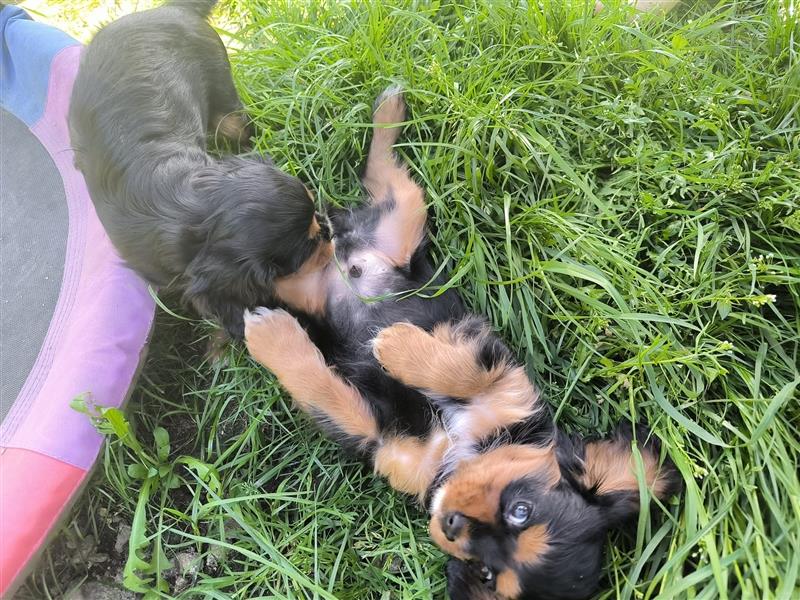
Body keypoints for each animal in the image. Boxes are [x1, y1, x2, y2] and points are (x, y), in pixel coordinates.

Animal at [245, 89, 680, 600]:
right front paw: (393, 344)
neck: (461, 454)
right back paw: (390, 105)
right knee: (391, 178)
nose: (452, 523)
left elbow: (321, 389)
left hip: (328, 274)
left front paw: (270, 335)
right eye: (520, 510)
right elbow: (464, 372)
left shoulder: (381, 437)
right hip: (401, 229)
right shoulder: (504, 377)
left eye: (485, 574)